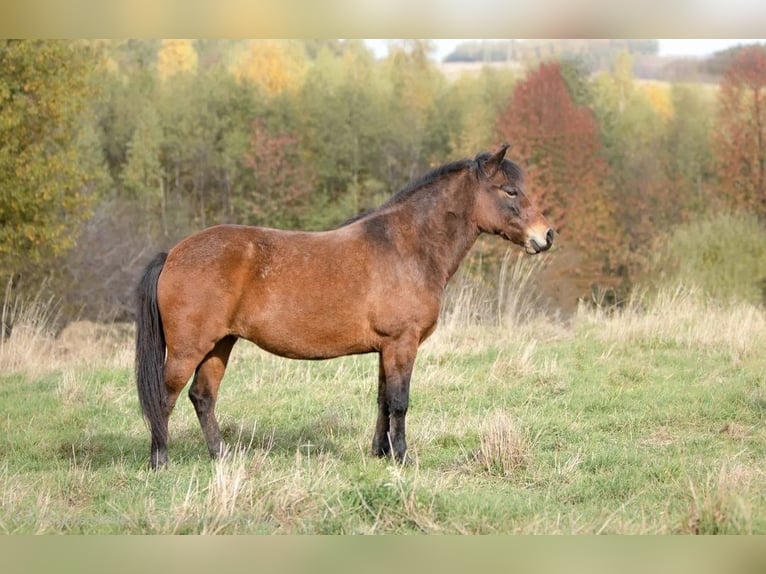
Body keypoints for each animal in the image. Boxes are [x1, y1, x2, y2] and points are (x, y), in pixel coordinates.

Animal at [136, 145, 552, 472]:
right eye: (510, 191)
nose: (546, 236)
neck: (405, 247)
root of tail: (173, 254)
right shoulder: (402, 343)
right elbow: (400, 402)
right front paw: (403, 457)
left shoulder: (387, 348)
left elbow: (383, 399)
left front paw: (381, 453)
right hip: (189, 349)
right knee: (165, 397)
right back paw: (160, 461)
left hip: (220, 344)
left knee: (202, 397)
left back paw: (222, 457)